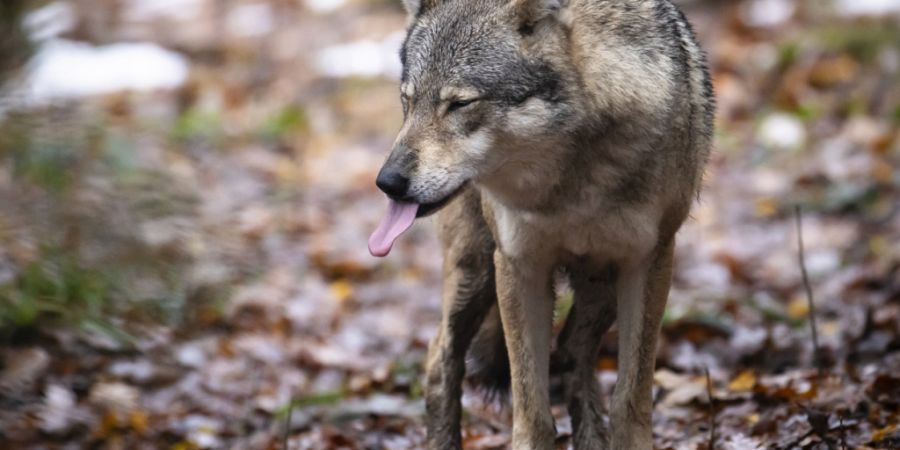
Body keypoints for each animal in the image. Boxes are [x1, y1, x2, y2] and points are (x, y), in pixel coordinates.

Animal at [367, 0, 714, 447]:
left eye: (460, 103)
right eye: (407, 101)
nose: (388, 183)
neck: (569, 187)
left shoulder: (648, 261)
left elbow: (631, 398)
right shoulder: (519, 266)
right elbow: (531, 409)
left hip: (600, 286)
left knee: (571, 356)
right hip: (476, 272)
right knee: (440, 360)